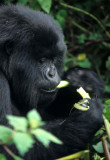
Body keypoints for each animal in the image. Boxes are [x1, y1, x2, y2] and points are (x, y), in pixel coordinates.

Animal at [0, 3, 104, 160]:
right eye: (42, 59)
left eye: (54, 59)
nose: (52, 73)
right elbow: (13, 147)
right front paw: (87, 118)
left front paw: (83, 81)